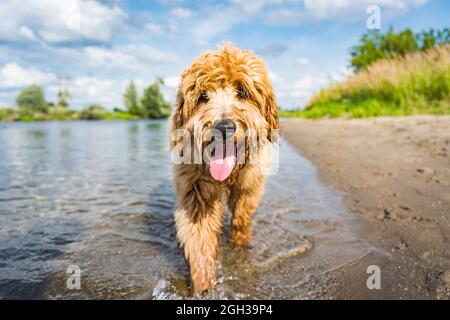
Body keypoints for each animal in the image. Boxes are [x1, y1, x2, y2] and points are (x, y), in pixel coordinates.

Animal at [169, 43, 278, 294]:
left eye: (243, 91)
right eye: (203, 96)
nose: (223, 126)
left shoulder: (249, 186)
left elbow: (241, 217)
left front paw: (240, 243)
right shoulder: (195, 193)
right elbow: (199, 240)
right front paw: (203, 284)